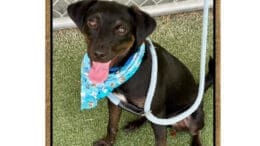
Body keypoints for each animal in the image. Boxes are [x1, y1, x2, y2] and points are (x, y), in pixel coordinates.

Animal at [67, 0, 213, 145]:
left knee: (196, 131)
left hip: (194, 117)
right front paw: (108, 142)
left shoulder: (157, 111)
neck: (125, 70)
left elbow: (161, 140)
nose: (98, 54)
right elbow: (111, 125)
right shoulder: (115, 102)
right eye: (92, 22)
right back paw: (135, 123)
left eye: (122, 29)